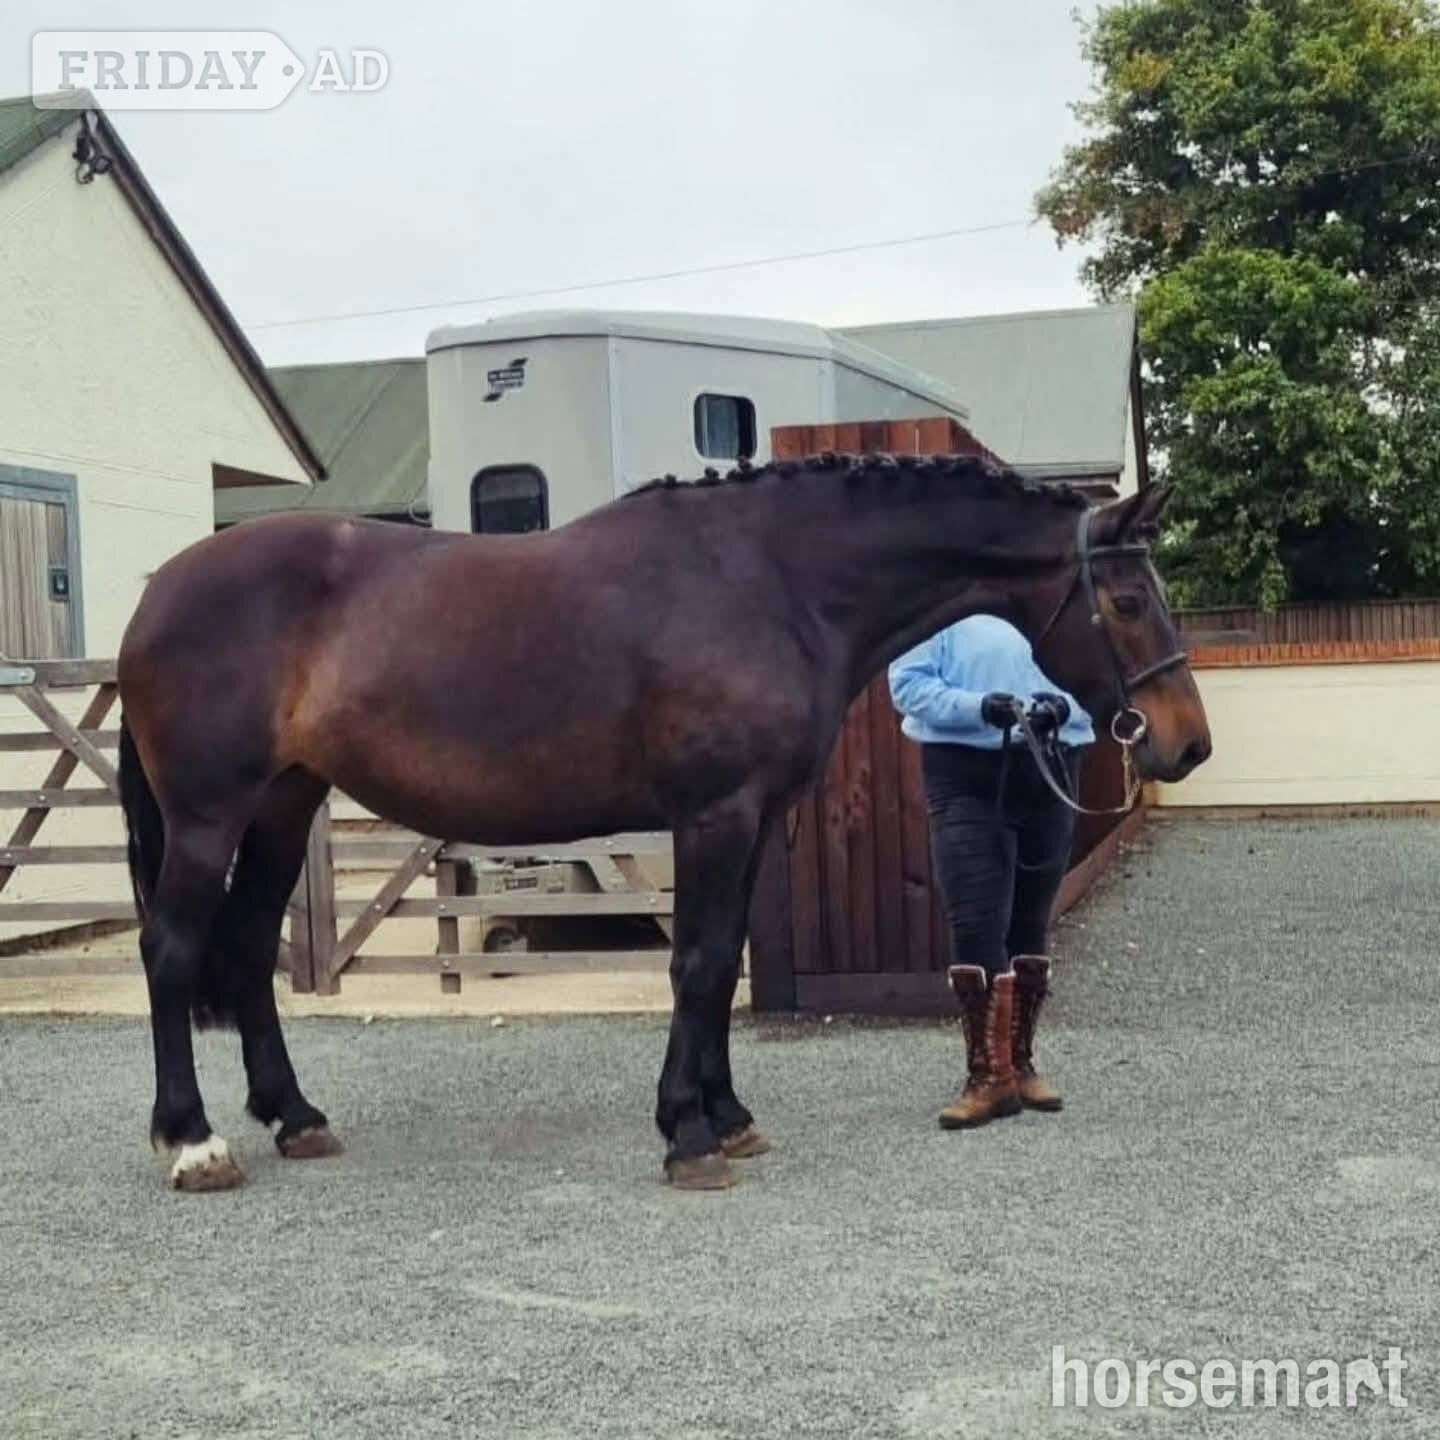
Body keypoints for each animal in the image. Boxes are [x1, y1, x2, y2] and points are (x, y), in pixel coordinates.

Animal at [116, 453, 1210, 1193]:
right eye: (1124, 599)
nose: (1185, 743)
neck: (772, 582)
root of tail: (158, 592)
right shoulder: (714, 816)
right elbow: (695, 964)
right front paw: (686, 1136)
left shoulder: (757, 817)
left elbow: (719, 965)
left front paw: (725, 1117)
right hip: (209, 817)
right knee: (171, 951)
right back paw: (193, 1141)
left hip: (284, 804)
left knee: (246, 949)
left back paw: (294, 1117)